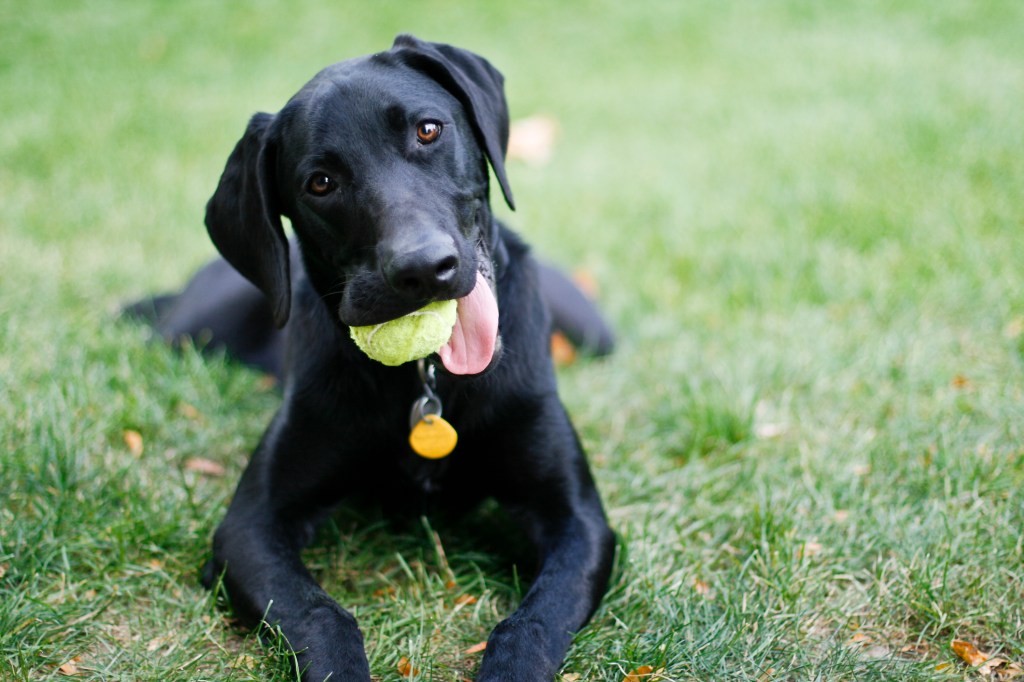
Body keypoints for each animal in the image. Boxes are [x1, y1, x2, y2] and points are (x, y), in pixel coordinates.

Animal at [134, 34, 614, 675]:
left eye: (429, 130)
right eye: (320, 183)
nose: (424, 269)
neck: (428, 378)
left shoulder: (577, 520)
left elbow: (533, 622)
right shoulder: (250, 526)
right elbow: (320, 614)